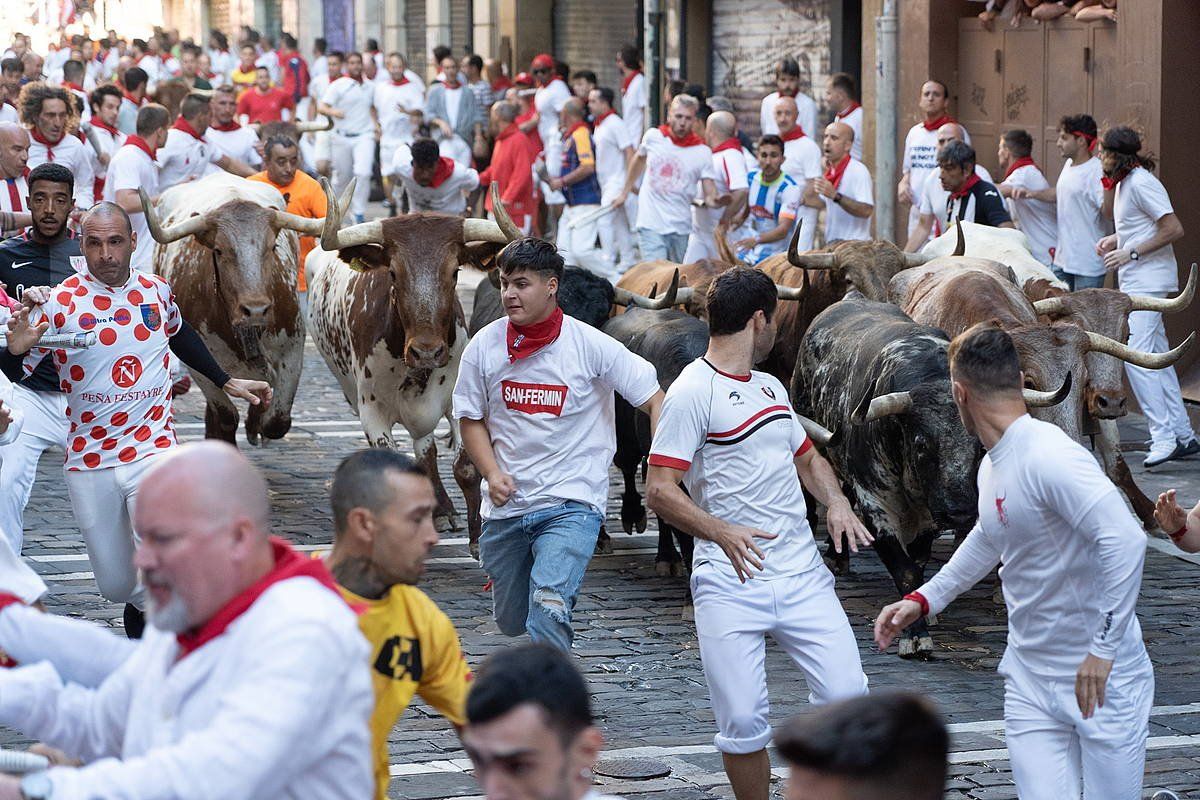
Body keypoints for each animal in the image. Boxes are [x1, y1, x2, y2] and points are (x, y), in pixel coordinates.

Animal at [792, 297, 979, 662]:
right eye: (921, 444)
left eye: (979, 446)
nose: (960, 512)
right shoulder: (874, 505)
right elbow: (904, 570)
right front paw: (915, 638)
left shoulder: (928, 516)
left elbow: (917, 566)